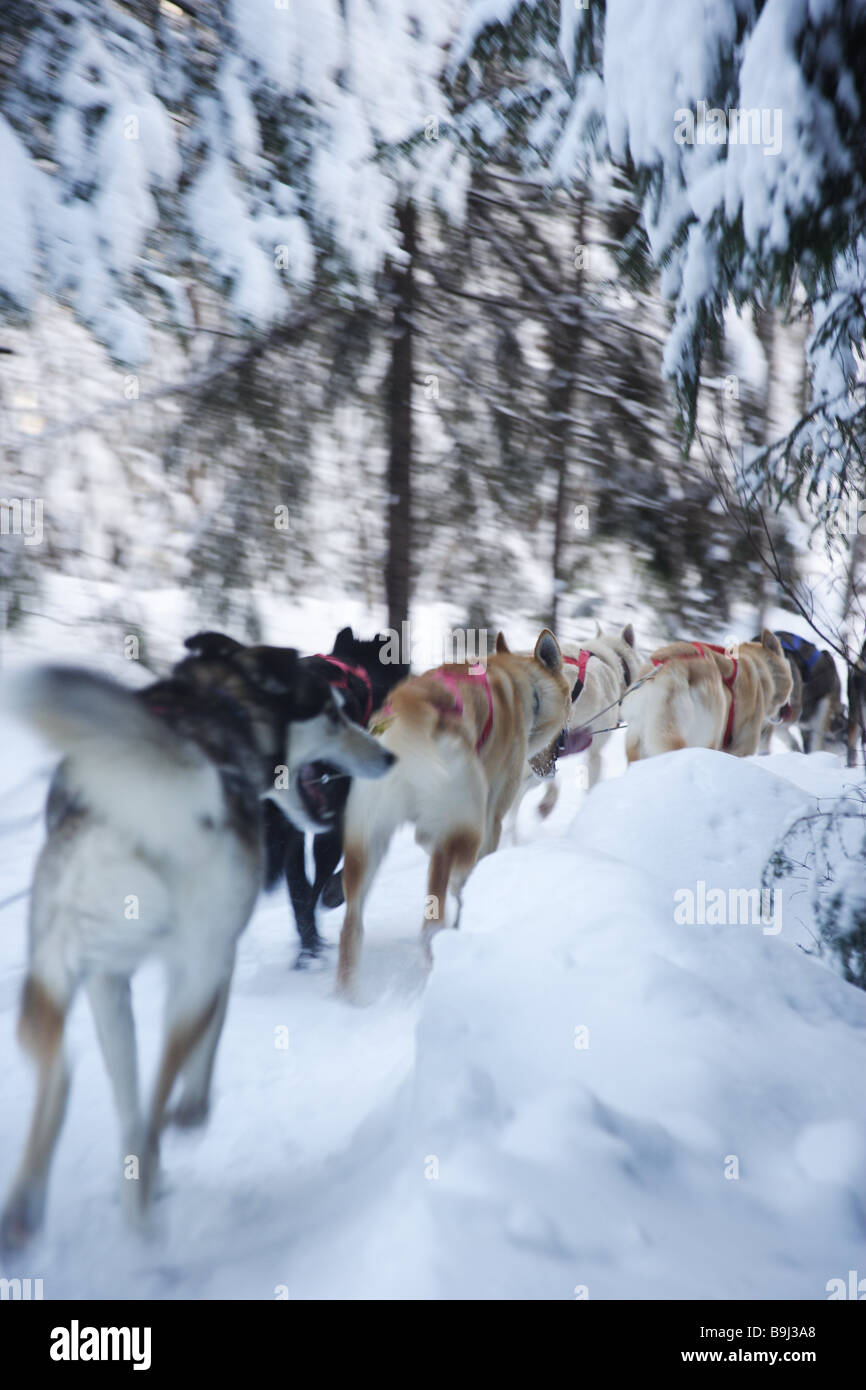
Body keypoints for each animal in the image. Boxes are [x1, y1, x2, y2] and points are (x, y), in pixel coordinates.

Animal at [0, 650, 391, 1251]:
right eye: (332, 713)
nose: (387, 755)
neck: (228, 704)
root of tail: (127, 812)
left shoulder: (109, 980)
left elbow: (127, 1101)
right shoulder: (216, 960)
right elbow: (202, 1056)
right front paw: (192, 1112)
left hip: (60, 977)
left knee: (74, 1078)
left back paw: (37, 1204)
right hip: (192, 973)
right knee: (154, 1097)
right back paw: (150, 1190)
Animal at [335, 631, 572, 1000]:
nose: (560, 750)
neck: (521, 686)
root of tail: (410, 712)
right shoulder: (492, 817)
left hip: (366, 844)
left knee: (351, 926)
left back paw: (349, 997)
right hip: (465, 826)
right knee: (434, 911)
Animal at [622, 636, 795, 767]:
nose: (786, 711)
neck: (760, 671)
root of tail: (674, 667)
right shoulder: (741, 747)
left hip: (639, 737)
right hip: (707, 738)